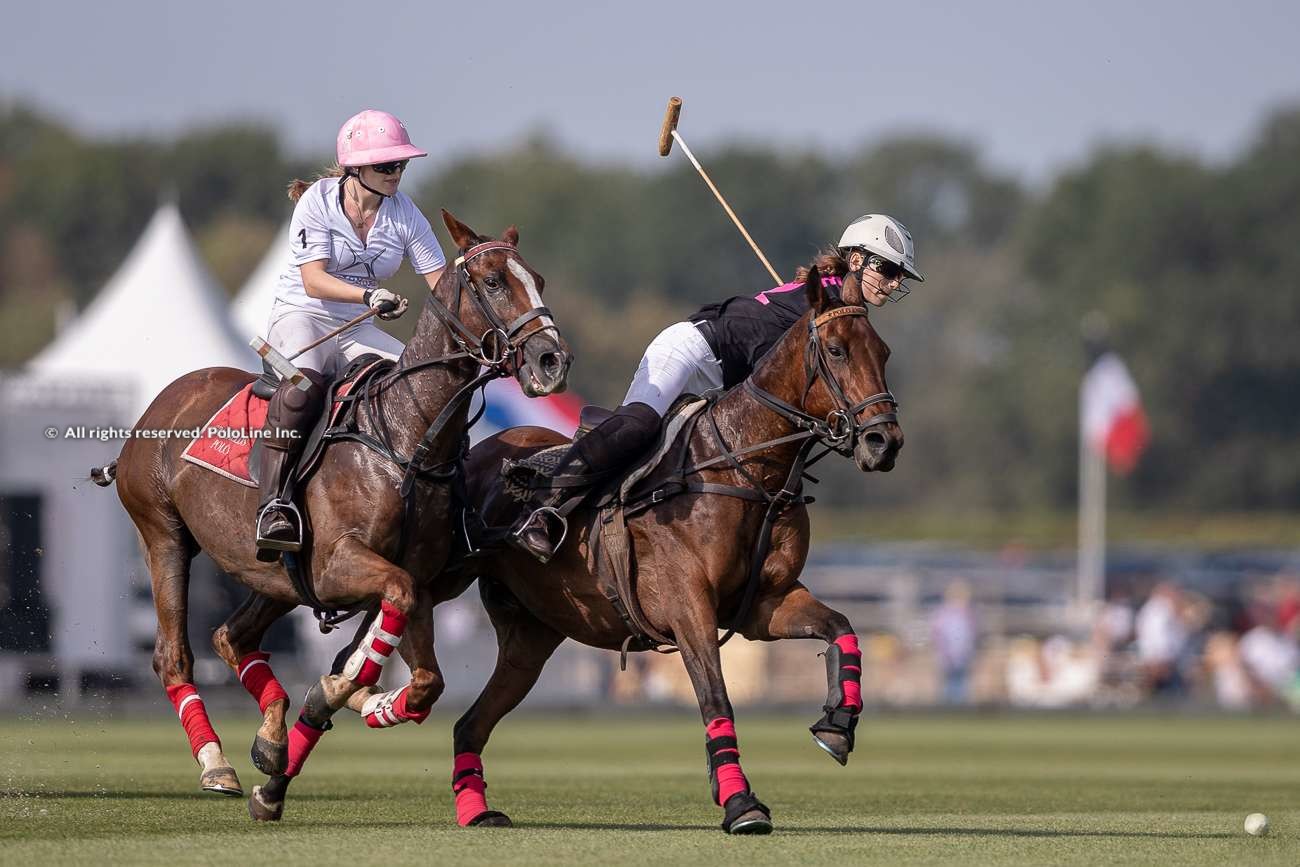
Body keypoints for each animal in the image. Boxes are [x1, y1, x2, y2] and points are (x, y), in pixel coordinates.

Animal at [96, 211, 574, 816]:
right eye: (492, 282)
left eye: (539, 279)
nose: (552, 362)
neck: (405, 440)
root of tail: (159, 404)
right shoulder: (339, 564)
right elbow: (386, 633)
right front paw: (349, 694)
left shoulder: (416, 577)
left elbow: (424, 677)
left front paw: (357, 699)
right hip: (164, 535)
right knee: (172, 655)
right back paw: (216, 764)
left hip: (271, 574)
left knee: (231, 636)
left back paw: (272, 736)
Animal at [441, 267, 899, 837]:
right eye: (835, 350)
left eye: (882, 352)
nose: (884, 442)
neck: (745, 469)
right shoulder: (688, 607)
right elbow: (716, 697)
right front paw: (741, 804)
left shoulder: (764, 604)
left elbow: (843, 627)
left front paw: (837, 726)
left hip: (531, 636)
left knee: (469, 723)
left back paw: (475, 810)